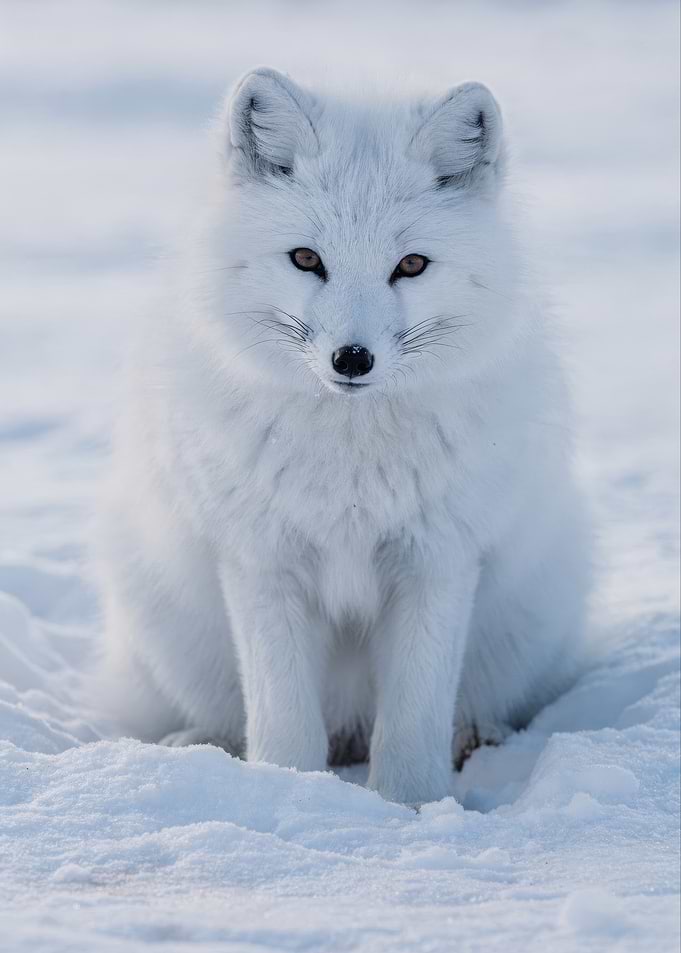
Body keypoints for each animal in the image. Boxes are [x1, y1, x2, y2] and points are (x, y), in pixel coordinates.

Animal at [96, 67, 591, 806]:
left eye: (411, 265)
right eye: (306, 259)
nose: (352, 359)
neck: (352, 467)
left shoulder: (436, 561)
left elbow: (413, 720)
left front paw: (412, 806)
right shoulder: (262, 561)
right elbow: (284, 720)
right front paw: (292, 794)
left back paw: (477, 737)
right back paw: (200, 749)